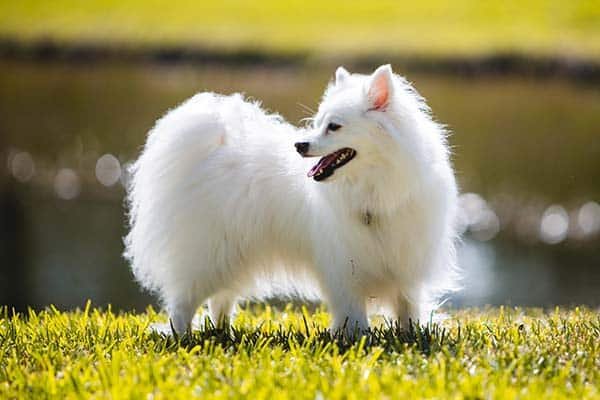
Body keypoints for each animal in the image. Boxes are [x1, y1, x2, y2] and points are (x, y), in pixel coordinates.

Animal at [124, 65, 458, 334]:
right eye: (317, 123)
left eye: (334, 126)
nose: (299, 145)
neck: (372, 189)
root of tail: (213, 147)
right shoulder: (343, 270)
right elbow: (353, 314)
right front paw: (356, 338)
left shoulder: (406, 266)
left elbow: (407, 307)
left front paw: (411, 336)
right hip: (210, 254)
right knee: (183, 302)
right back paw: (182, 336)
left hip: (233, 253)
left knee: (221, 299)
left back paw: (222, 332)